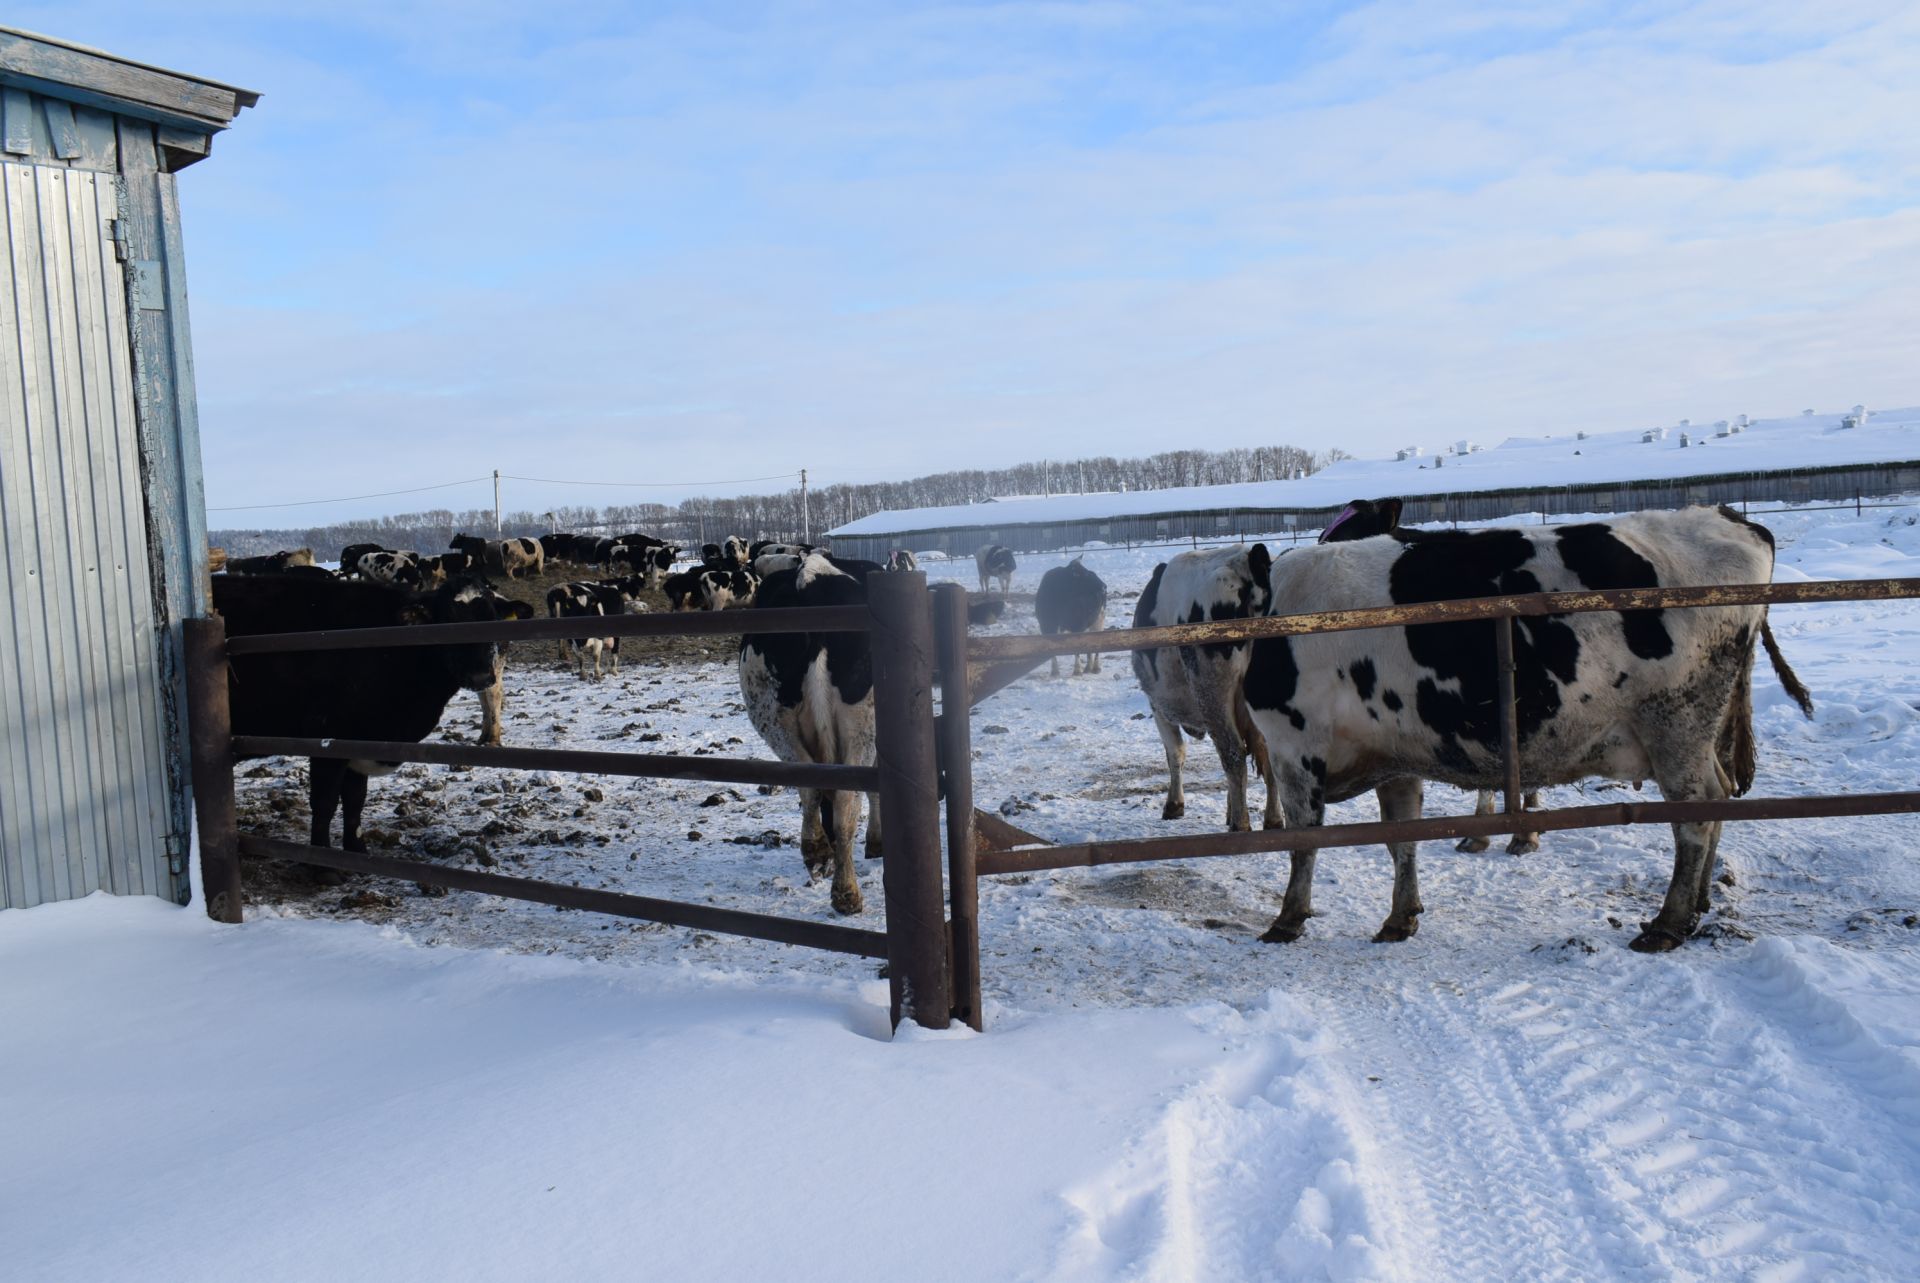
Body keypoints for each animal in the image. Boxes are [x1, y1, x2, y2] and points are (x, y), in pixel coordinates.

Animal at [216, 576, 526, 868]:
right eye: (447, 620)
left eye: (492, 619)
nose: (480, 677)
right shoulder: (327, 739)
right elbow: (325, 802)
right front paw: (322, 863)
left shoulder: (362, 741)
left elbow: (355, 801)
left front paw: (357, 851)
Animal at [737, 556, 879, 918]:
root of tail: (811, 576)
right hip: (862, 724)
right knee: (845, 800)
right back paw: (845, 889)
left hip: (772, 718)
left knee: (811, 783)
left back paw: (818, 854)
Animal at [1244, 507, 1812, 948]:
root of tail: (1730, 520)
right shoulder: (1394, 751)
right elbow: (1401, 836)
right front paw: (1400, 916)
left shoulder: (1294, 743)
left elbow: (1303, 840)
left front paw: (1288, 919)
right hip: (1694, 728)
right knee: (1718, 798)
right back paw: (1698, 905)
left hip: (1676, 720)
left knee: (1695, 812)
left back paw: (1668, 923)